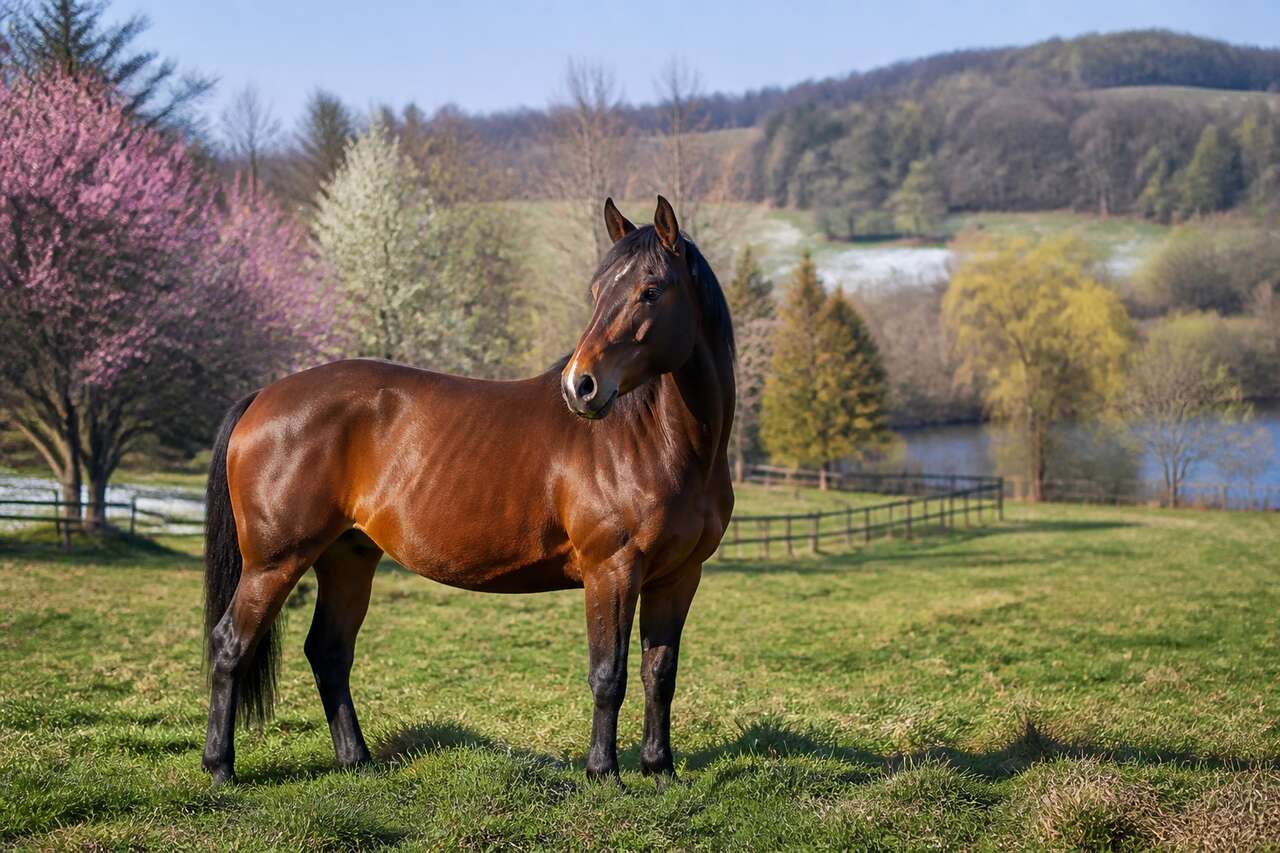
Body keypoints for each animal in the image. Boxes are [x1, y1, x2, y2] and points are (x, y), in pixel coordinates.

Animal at [201, 196, 736, 784]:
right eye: (597, 292)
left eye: (650, 290)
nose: (581, 386)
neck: (656, 441)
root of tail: (262, 397)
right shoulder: (612, 571)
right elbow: (608, 674)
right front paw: (603, 773)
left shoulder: (678, 576)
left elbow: (659, 673)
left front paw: (660, 771)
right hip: (274, 562)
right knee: (230, 645)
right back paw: (221, 767)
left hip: (347, 557)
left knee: (329, 652)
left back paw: (357, 761)